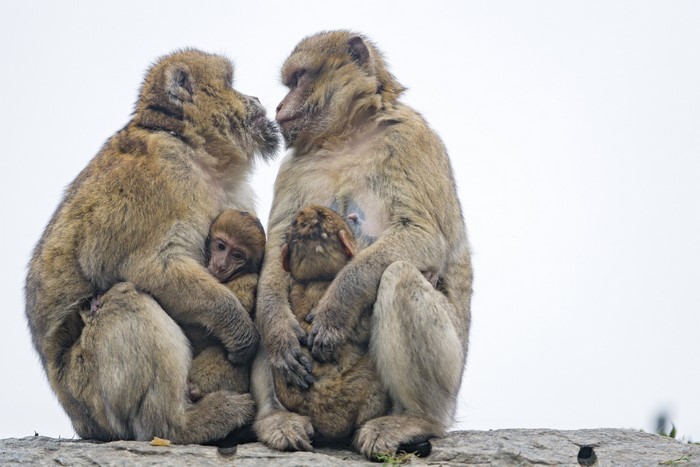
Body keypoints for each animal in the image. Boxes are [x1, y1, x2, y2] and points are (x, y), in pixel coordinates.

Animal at [252, 31, 473, 459]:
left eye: (299, 78)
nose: (280, 106)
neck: (345, 138)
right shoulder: (294, 166)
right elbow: (275, 251)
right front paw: (278, 331)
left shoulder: (410, 138)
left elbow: (423, 237)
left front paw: (338, 306)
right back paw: (275, 419)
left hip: (451, 379)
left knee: (400, 275)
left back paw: (416, 420)